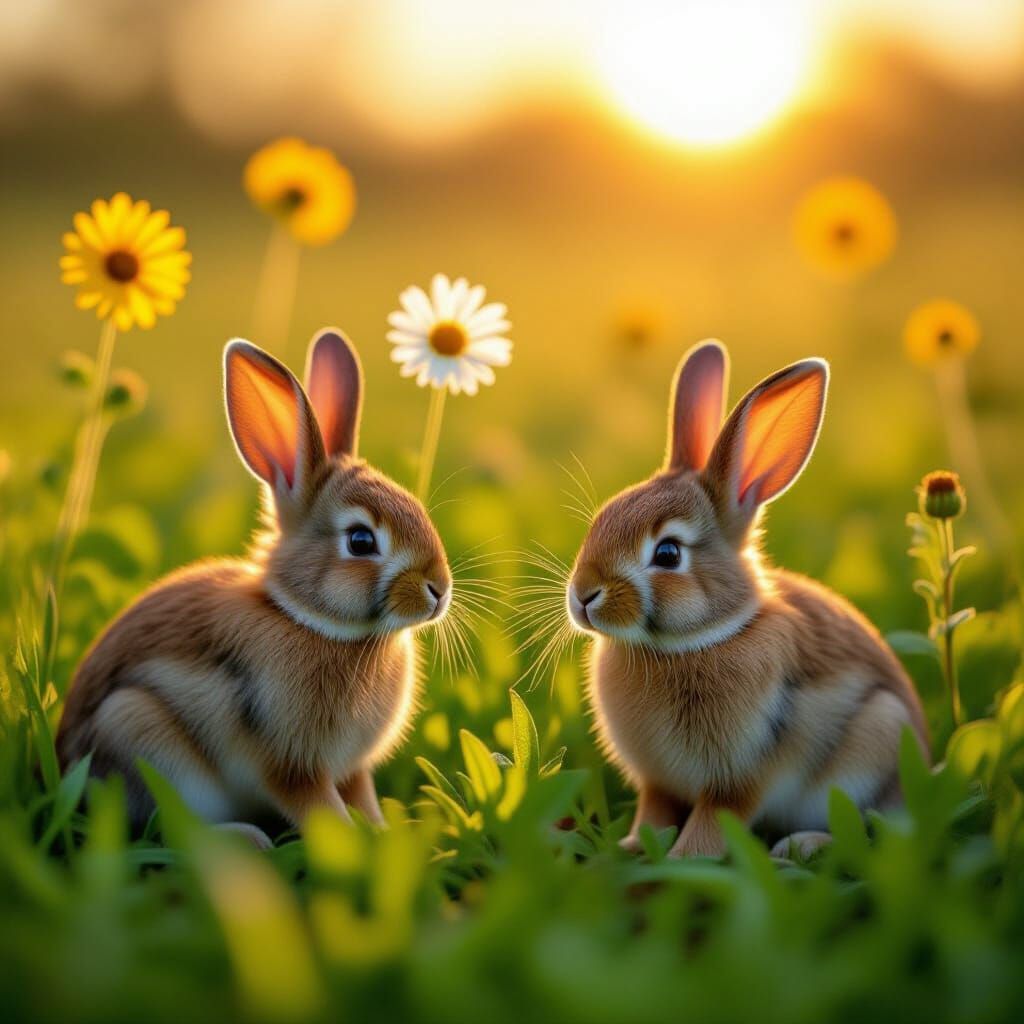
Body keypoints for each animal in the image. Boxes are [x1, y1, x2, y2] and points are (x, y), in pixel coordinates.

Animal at [57, 329, 452, 840]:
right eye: (361, 540)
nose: (439, 590)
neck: (307, 619)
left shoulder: (352, 770)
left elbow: (363, 800)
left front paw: (386, 834)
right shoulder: (292, 768)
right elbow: (322, 811)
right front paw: (356, 844)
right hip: (138, 731)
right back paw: (247, 839)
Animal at [566, 340, 929, 859]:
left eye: (668, 553)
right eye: (602, 518)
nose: (582, 596)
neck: (699, 640)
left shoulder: (737, 781)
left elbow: (712, 825)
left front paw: (680, 862)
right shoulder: (659, 784)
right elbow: (654, 816)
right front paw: (631, 848)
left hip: (878, 738)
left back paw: (800, 848)